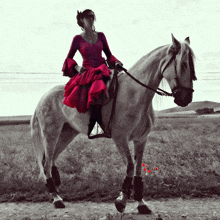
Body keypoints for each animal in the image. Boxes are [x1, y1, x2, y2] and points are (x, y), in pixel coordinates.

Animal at [30, 34, 196, 213]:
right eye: (183, 64)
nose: (186, 99)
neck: (134, 94)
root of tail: (44, 97)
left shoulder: (140, 139)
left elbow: (138, 169)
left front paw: (141, 203)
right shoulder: (120, 138)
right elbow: (130, 166)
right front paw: (121, 201)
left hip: (67, 133)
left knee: (50, 160)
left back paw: (56, 193)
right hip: (51, 134)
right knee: (47, 163)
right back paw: (56, 199)